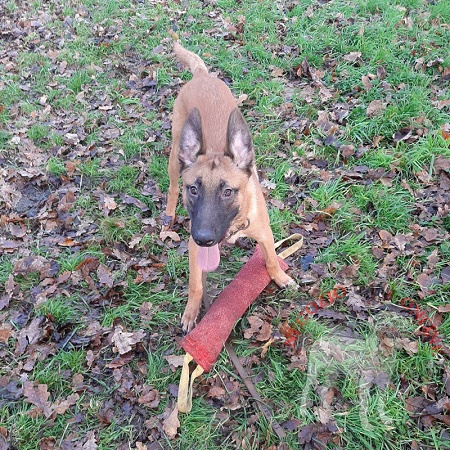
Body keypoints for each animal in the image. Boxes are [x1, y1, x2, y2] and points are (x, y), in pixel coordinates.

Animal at [165, 42, 296, 330]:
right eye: (193, 189)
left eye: (227, 192)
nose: (203, 238)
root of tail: (202, 76)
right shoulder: (194, 248)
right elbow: (196, 285)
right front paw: (192, 313)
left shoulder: (265, 233)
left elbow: (271, 258)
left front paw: (279, 277)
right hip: (174, 156)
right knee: (171, 186)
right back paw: (168, 215)